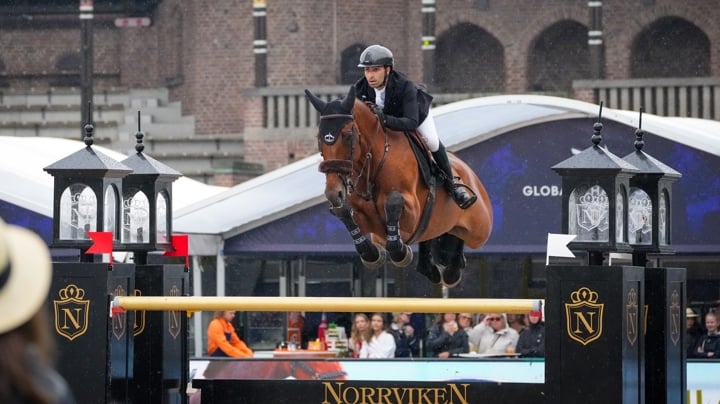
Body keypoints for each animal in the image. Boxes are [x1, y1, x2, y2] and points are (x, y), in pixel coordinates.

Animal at [304, 87, 496, 288]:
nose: (333, 193)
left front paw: (401, 253)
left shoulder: (413, 214)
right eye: (319, 139)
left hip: (480, 230)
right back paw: (435, 269)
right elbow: (346, 215)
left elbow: (393, 202)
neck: (375, 161)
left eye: (348, 136)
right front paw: (373, 255)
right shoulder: (369, 224)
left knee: (462, 238)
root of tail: (468, 171)